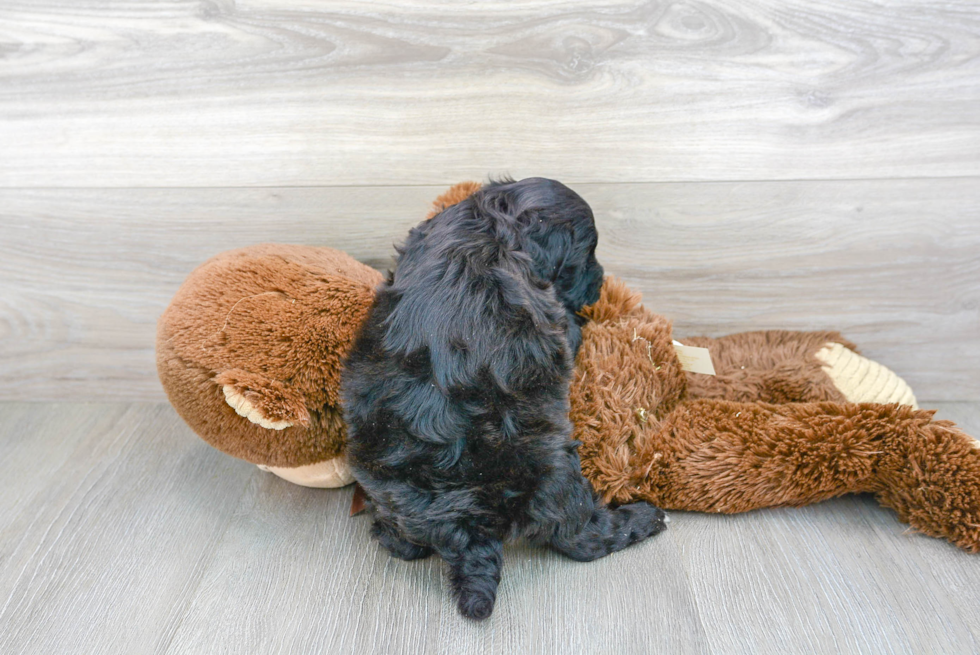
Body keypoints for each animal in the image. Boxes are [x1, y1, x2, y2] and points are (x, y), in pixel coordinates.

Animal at [340, 178, 668, 620]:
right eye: (588, 254)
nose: (600, 281)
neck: (497, 215)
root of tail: (467, 522)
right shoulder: (555, 318)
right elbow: (571, 329)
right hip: (558, 476)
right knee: (584, 539)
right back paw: (644, 518)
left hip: (383, 476)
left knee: (402, 543)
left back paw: (388, 531)